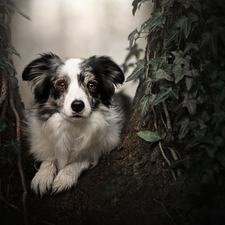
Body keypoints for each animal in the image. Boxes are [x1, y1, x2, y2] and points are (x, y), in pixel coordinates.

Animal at [22, 52, 130, 195]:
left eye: (91, 85)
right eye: (61, 84)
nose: (78, 106)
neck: (72, 126)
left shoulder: (103, 145)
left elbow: (81, 158)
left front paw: (64, 178)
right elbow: (49, 157)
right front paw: (42, 177)